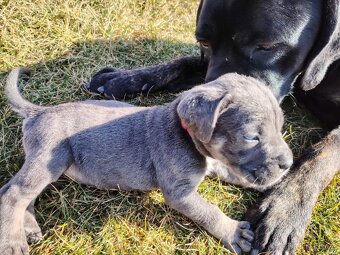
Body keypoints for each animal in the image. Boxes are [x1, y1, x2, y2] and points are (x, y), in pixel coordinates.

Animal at [0, 68, 292, 255]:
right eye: (251, 137)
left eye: (280, 126)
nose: (288, 163)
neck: (184, 133)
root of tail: (40, 111)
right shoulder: (179, 193)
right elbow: (208, 211)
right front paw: (232, 232)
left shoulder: (215, 163)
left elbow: (233, 173)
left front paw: (274, 187)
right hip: (51, 159)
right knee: (13, 193)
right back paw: (12, 240)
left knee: (18, 191)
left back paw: (28, 226)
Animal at [86, 0, 338, 254]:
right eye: (204, 42)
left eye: (267, 46)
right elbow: (184, 61)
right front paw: (125, 78)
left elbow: (320, 156)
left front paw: (282, 210)